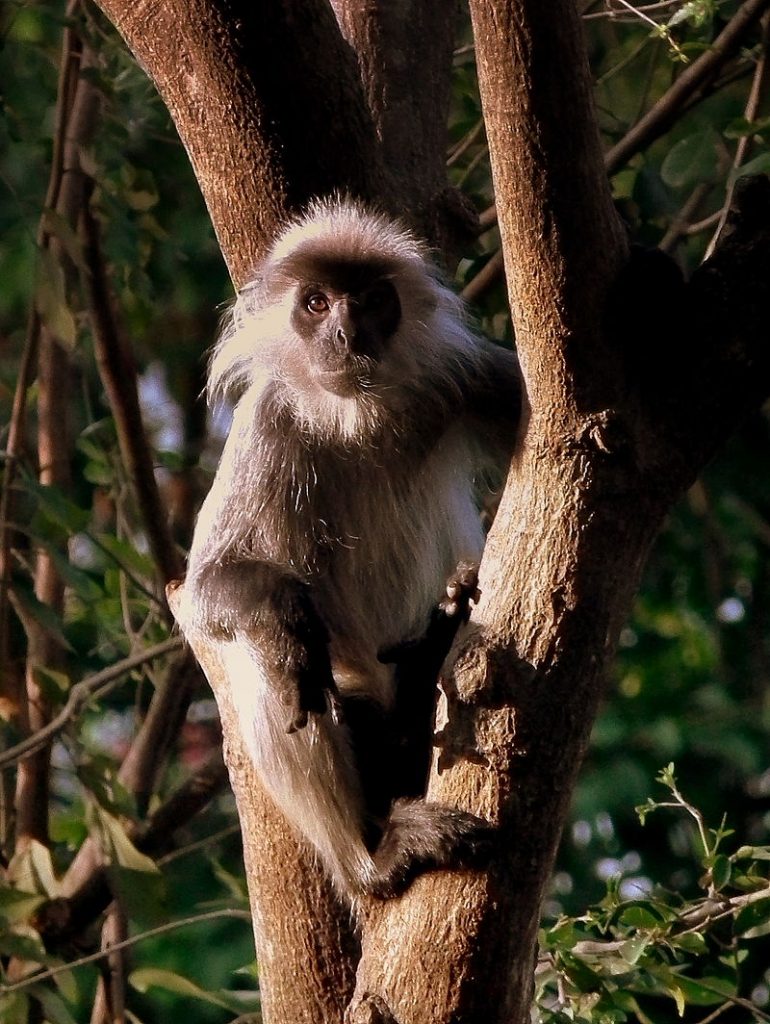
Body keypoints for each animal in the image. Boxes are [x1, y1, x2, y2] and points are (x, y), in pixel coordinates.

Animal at [178, 198, 521, 901]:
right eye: (316, 303)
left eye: (369, 301)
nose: (344, 334)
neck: (353, 417)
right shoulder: (266, 422)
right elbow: (205, 594)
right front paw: (284, 615)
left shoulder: (462, 374)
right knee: (276, 668)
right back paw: (372, 859)